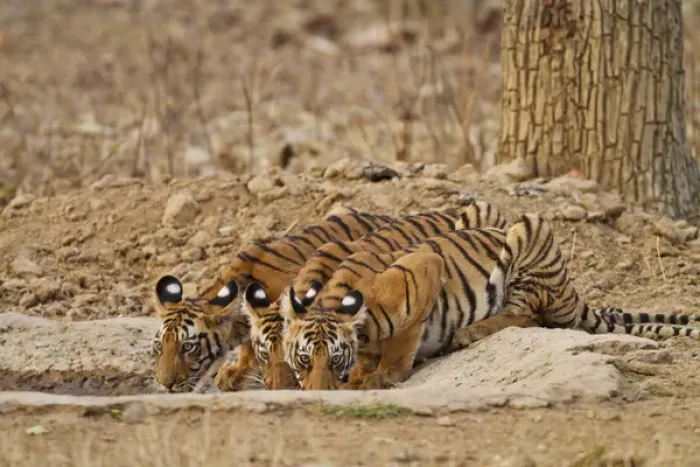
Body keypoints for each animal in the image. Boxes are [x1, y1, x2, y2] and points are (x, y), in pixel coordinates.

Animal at [281, 213, 700, 391]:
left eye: (335, 358)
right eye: (303, 360)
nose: (317, 394)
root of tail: (571, 290)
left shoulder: (425, 268)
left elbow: (403, 339)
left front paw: (384, 374)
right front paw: (363, 375)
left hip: (529, 232)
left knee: (526, 315)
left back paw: (470, 332)